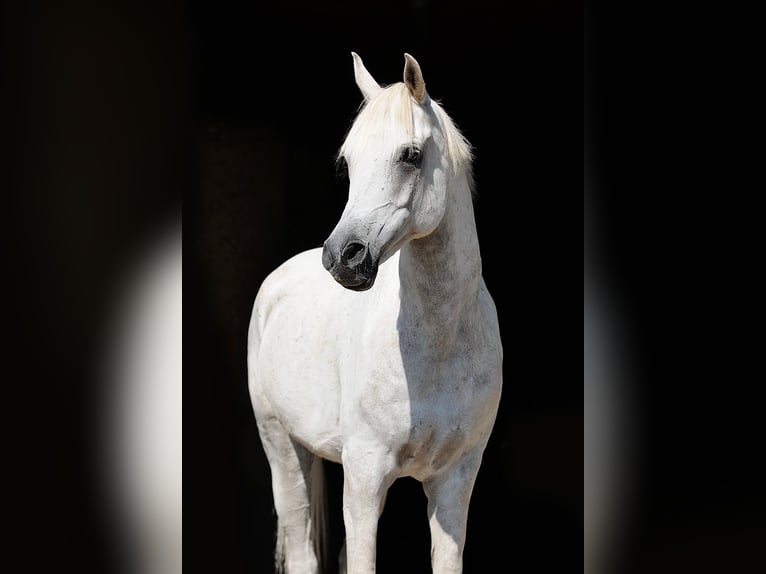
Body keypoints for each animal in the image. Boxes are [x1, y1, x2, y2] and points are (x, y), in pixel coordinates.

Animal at [248, 52, 503, 574]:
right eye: (348, 161)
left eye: (410, 155)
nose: (342, 257)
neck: (438, 347)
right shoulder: (364, 476)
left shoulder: (455, 480)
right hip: (282, 446)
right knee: (302, 550)